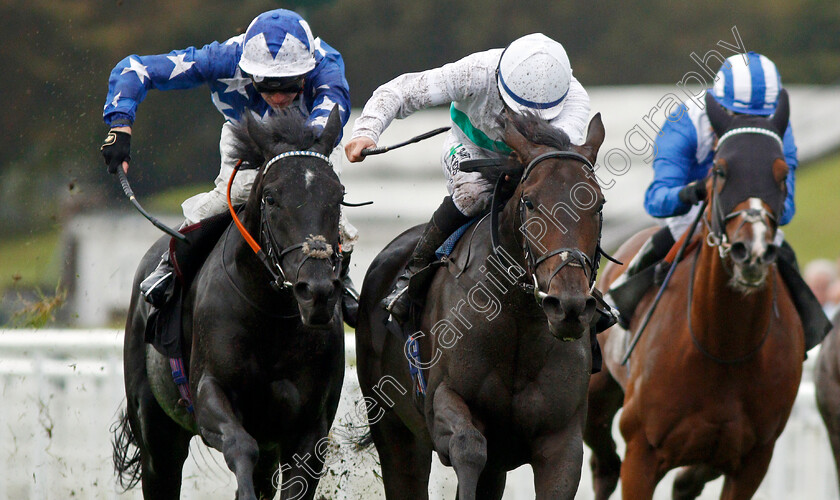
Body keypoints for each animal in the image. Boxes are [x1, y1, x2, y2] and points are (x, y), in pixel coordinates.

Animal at [113, 107, 346, 498]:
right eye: (271, 197)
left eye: (339, 195)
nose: (316, 292)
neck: (272, 318)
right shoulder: (210, 392)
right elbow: (240, 444)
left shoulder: (309, 428)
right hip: (157, 434)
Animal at [358, 111, 608, 498]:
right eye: (530, 201)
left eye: (596, 203)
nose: (568, 305)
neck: (518, 320)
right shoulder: (441, 402)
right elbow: (468, 445)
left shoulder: (562, 440)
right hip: (394, 431)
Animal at [588, 91, 804, 500]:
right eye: (719, 170)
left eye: (783, 173)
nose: (751, 251)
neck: (723, 349)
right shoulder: (640, 453)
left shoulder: (754, 460)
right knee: (600, 457)